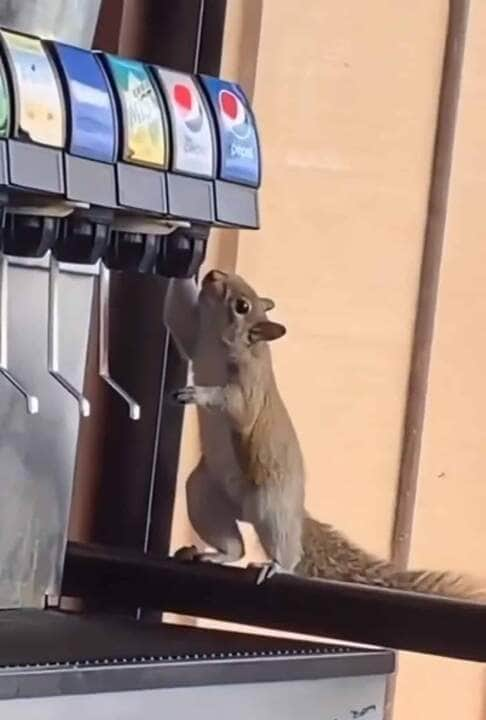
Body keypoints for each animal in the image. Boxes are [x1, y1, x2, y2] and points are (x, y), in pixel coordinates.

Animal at [165, 268, 484, 600]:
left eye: (242, 306)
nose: (214, 274)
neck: (220, 342)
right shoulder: (196, 340)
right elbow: (178, 318)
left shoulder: (249, 390)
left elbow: (234, 405)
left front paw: (199, 394)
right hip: (204, 495)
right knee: (234, 546)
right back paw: (214, 554)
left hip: (271, 506)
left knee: (286, 549)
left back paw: (275, 565)